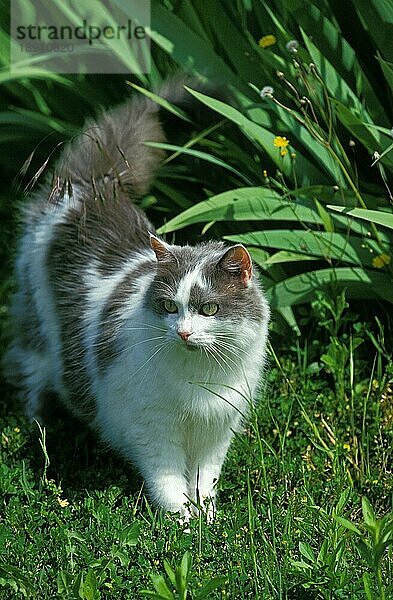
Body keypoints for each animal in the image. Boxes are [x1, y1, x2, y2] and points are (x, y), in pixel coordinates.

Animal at [5, 82, 270, 516]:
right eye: (169, 306)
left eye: (209, 308)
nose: (183, 333)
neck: (199, 377)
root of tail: (93, 186)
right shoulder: (153, 427)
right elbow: (168, 484)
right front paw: (182, 523)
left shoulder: (215, 430)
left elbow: (205, 482)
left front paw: (209, 520)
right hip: (37, 338)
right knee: (30, 383)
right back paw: (40, 429)